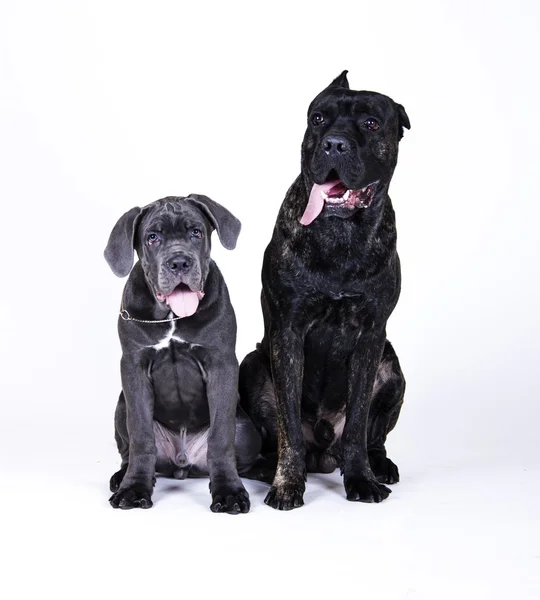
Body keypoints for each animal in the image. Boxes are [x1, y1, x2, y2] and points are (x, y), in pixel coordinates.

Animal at [104, 195, 262, 512]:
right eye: (152, 238)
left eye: (196, 233)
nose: (179, 262)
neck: (171, 316)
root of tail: (181, 462)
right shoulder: (134, 369)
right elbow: (141, 436)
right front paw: (134, 487)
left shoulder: (221, 365)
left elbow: (220, 438)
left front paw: (228, 491)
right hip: (121, 404)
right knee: (131, 450)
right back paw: (122, 476)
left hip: (248, 432)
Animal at [239, 72, 410, 508]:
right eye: (317, 118)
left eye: (371, 123)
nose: (334, 143)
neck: (340, 235)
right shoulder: (288, 330)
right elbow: (288, 429)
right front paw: (286, 485)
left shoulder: (371, 335)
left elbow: (358, 424)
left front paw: (362, 480)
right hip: (253, 364)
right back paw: (265, 467)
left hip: (393, 369)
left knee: (372, 437)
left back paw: (380, 465)